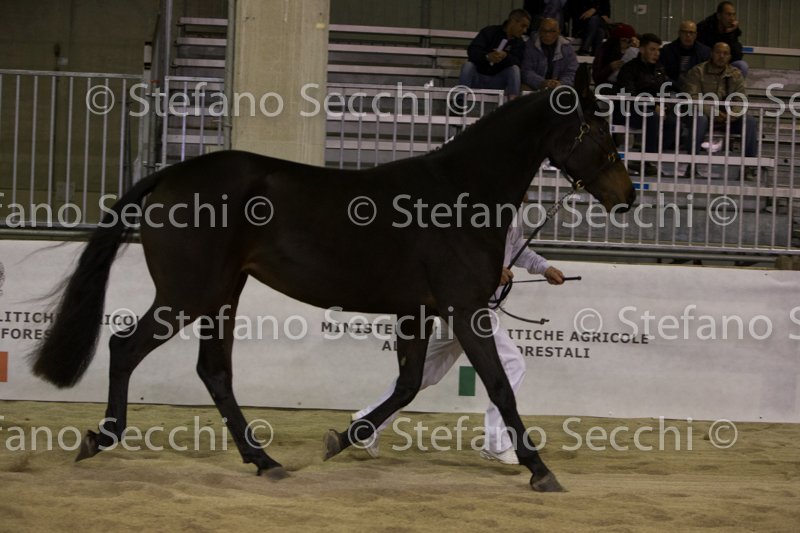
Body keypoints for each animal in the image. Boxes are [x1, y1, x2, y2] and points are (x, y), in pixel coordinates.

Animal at [30, 87, 635, 492]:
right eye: (601, 133)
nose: (628, 196)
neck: (459, 195)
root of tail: (172, 175)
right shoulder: (465, 310)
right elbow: (500, 388)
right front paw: (540, 470)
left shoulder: (419, 313)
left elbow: (407, 385)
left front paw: (345, 438)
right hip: (188, 294)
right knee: (125, 347)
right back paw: (101, 439)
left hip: (223, 294)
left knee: (214, 371)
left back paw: (265, 461)